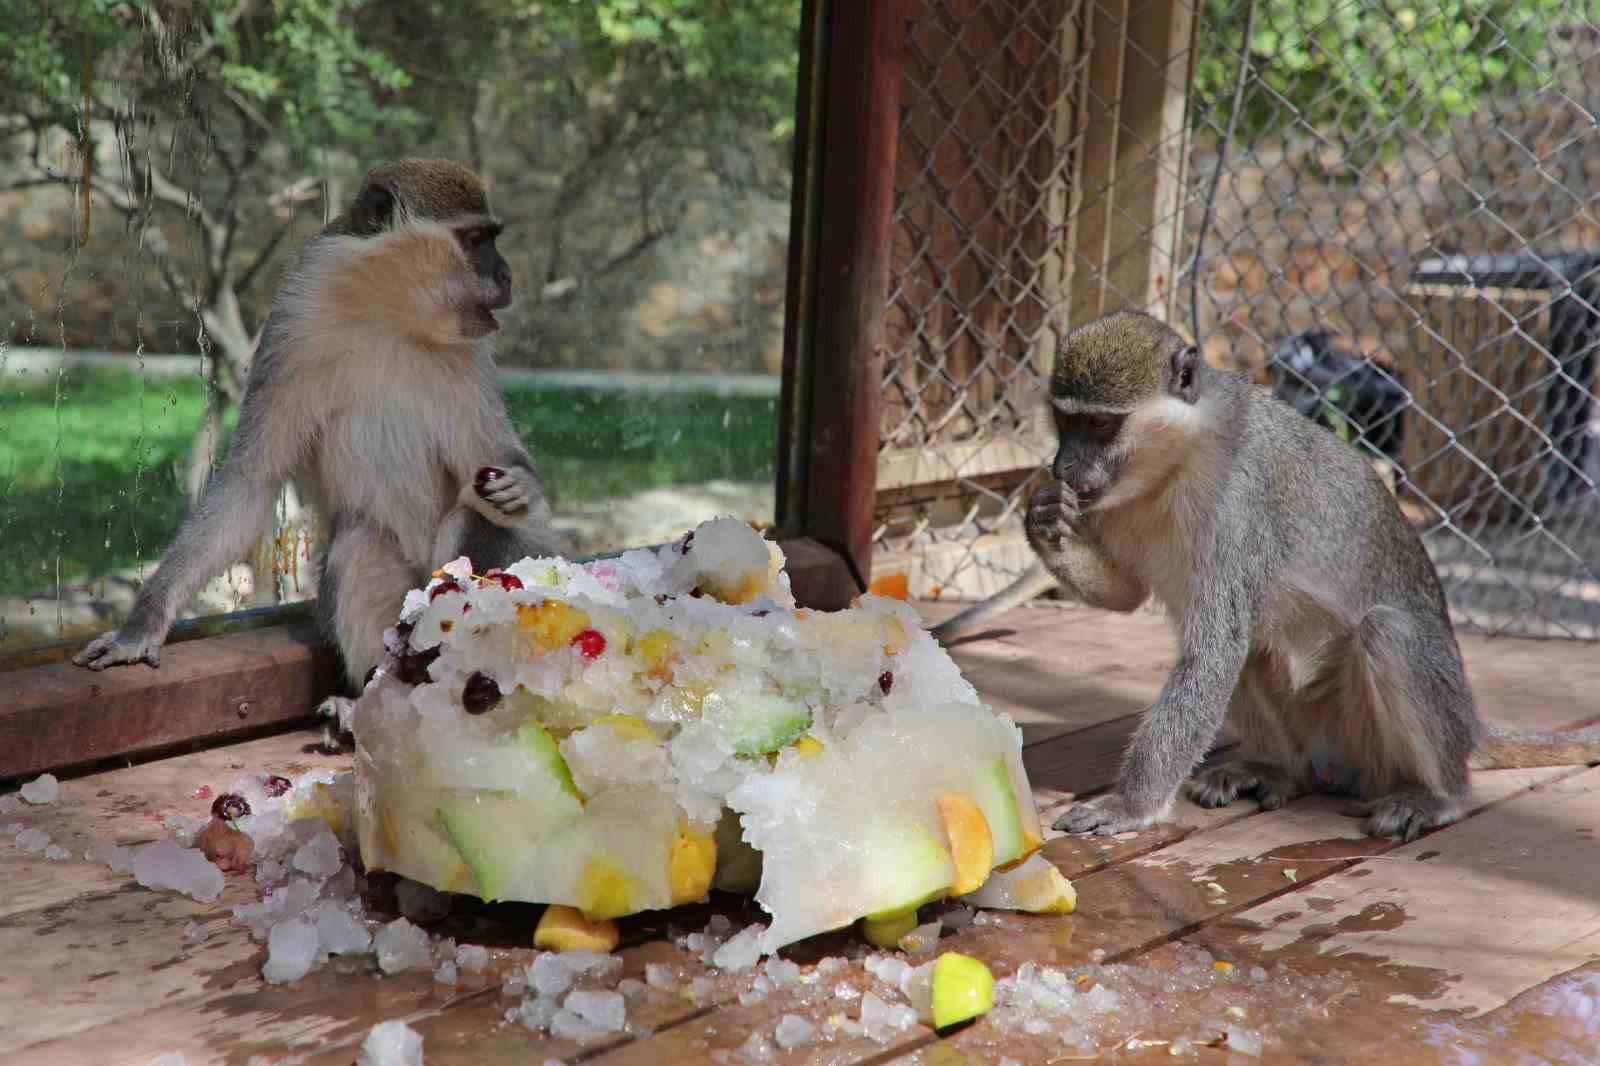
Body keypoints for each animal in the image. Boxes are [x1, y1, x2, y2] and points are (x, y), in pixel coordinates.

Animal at [75, 157, 563, 688]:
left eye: (491, 237)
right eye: (475, 239)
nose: (508, 275)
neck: (388, 313)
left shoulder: (470, 354)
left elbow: (495, 461)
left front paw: (522, 483)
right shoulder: (294, 326)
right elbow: (251, 482)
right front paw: (144, 621)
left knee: (477, 518)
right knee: (361, 543)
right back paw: (371, 692)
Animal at [940, 307, 1593, 838]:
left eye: (1101, 426)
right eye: (1064, 420)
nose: (1063, 466)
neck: (1173, 462)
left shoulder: (1237, 501)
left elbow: (1213, 650)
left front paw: (1131, 805)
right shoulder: (1107, 503)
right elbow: (1129, 596)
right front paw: (1044, 518)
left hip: (1375, 739)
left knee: (1384, 633)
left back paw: (1440, 796)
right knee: (1257, 653)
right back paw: (1275, 769)